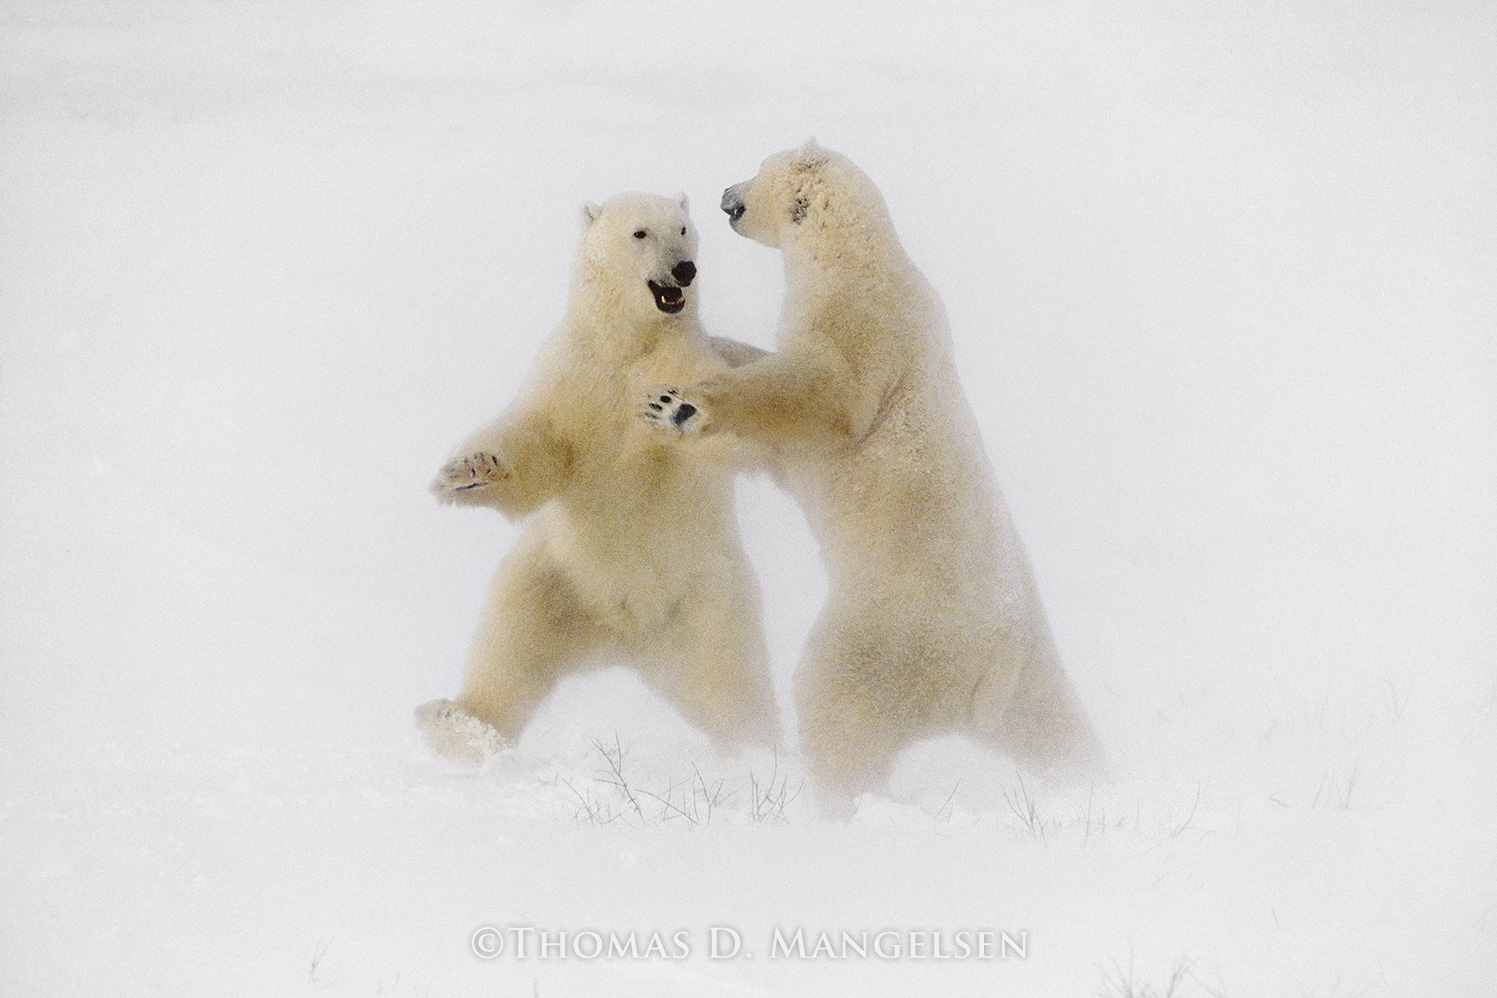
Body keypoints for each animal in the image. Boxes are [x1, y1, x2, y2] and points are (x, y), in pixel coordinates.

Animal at [419, 192, 778, 764]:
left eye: (683, 229)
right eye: (640, 233)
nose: (684, 268)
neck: (628, 346)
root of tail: (622, 637)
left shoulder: (684, 359)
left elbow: (729, 432)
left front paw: (680, 412)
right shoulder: (572, 375)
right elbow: (539, 448)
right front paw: (467, 472)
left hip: (709, 600)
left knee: (731, 685)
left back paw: (758, 755)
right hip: (553, 581)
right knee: (510, 649)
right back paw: (460, 723)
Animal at [644, 142, 1102, 812]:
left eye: (759, 169)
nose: (725, 192)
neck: (851, 256)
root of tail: (983, 676)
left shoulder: (862, 323)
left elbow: (821, 393)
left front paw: (680, 406)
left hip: (883, 635)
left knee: (834, 701)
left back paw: (830, 799)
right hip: (1030, 674)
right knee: (1056, 728)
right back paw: (1093, 778)